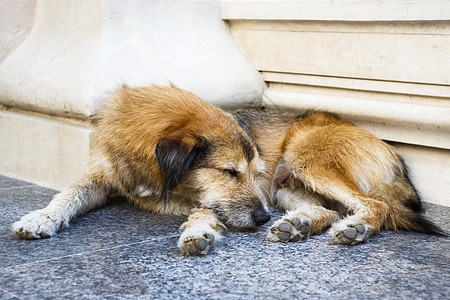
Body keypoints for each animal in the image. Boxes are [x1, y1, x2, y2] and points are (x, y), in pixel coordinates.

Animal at [13, 84, 270, 255]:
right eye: (230, 172)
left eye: (256, 174)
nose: (264, 217)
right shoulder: (105, 173)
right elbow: (71, 192)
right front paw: (42, 217)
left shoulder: (200, 197)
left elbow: (207, 210)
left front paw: (197, 231)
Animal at [234, 108, 444, 244]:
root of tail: (394, 154)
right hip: (285, 189)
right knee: (330, 212)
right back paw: (298, 224)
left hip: (306, 160)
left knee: (377, 205)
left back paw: (357, 228)